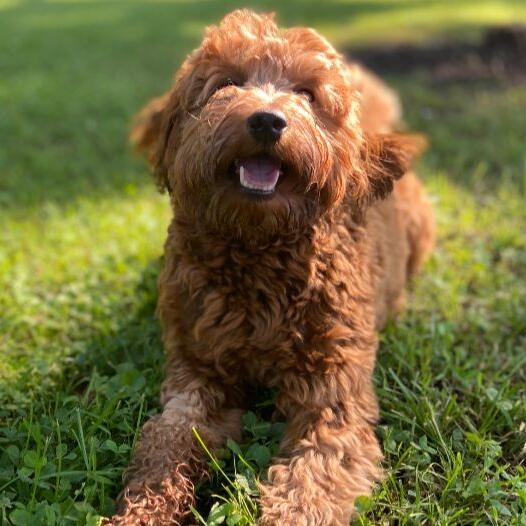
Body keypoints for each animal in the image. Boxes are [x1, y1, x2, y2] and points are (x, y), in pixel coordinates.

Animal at [106, 9, 434, 526]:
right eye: (226, 83)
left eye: (307, 93)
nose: (266, 120)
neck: (258, 252)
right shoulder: (196, 374)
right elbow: (165, 448)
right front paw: (141, 512)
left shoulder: (331, 398)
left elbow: (311, 480)